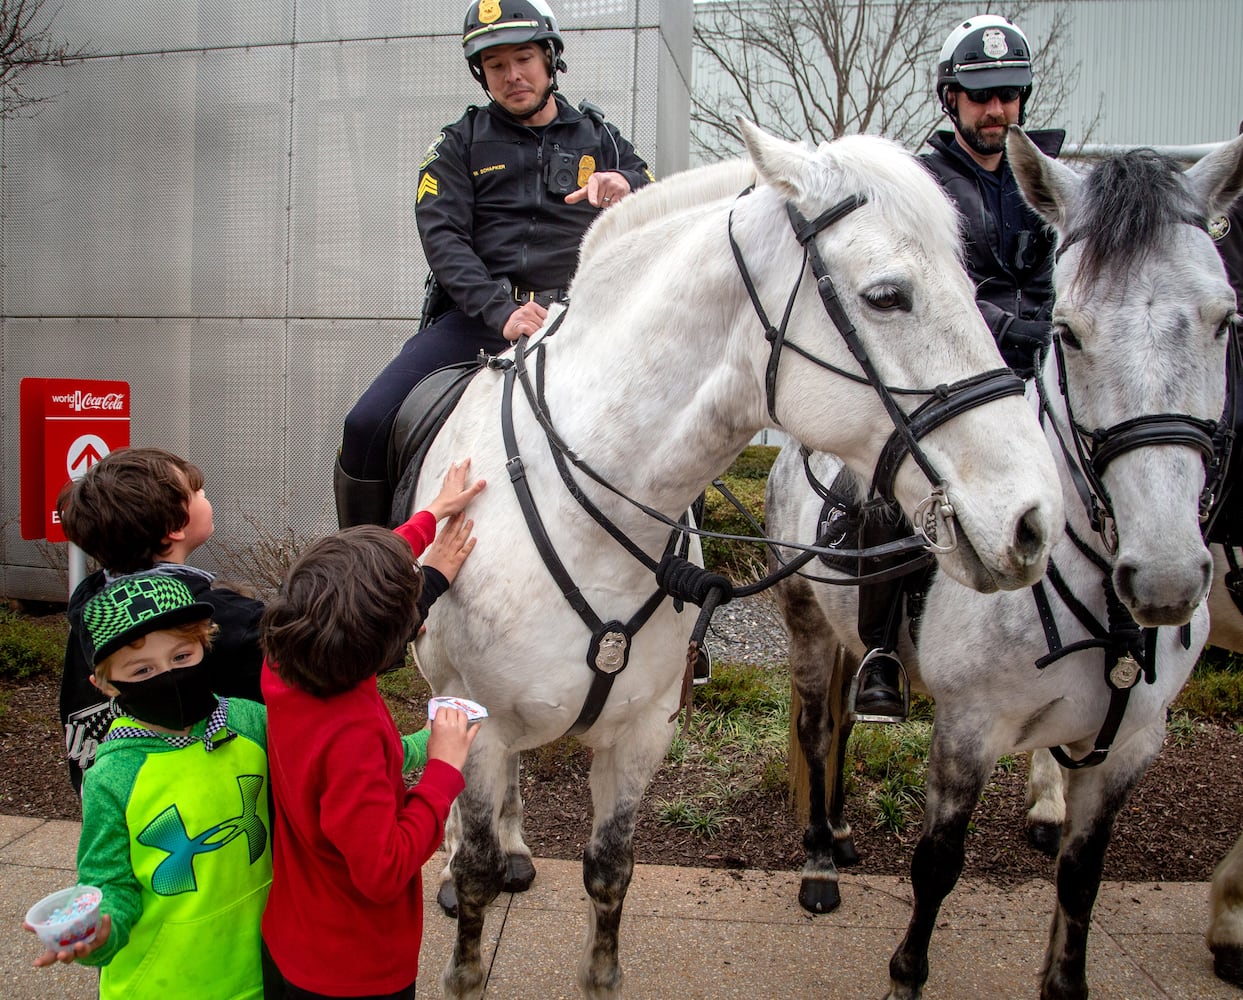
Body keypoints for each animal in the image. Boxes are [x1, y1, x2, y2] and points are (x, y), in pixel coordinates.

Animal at [412, 121, 1064, 993]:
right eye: (886, 296)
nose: (1033, 520)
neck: (585, 506)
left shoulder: (640, 735)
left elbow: (608, 874)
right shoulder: (476, 721)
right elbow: (477, 883)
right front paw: (465, 921)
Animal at [760, 128, 1243, 993]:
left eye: (1223, 321)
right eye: (1069, 330)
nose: (1163, 578)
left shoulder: (1128, 750)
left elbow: (1081, 879)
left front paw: (1065, 980)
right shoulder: (968, 732)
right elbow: (936, 866)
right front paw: (906, 974)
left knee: (845, 719)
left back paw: (841, 832)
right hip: (809, 622)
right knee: (818, 728)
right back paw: (819, 860)